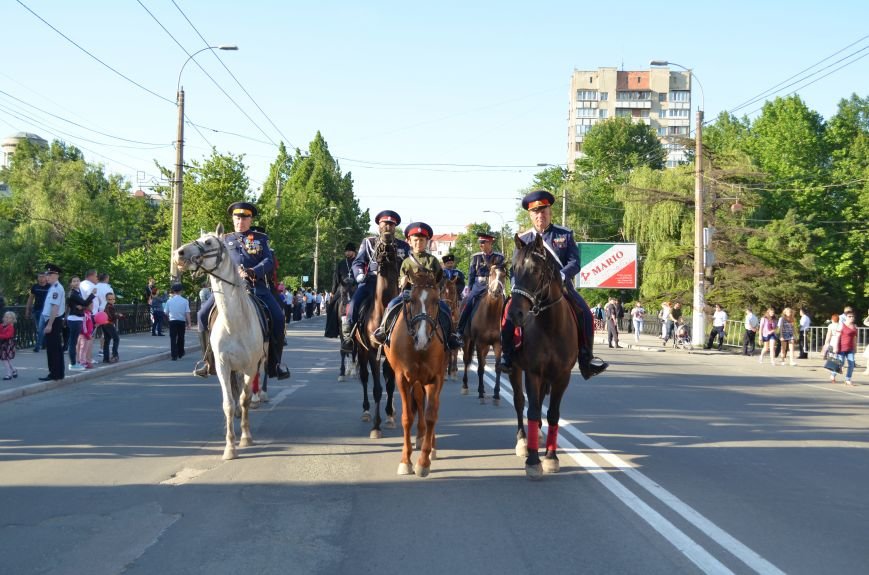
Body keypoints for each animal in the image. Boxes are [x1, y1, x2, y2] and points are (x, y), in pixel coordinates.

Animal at [170, 226, 264, 464]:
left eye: (209, 242)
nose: (179, 254)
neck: (235, 322)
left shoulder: (250, 366)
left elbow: (245, 398)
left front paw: (246, 437)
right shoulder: (222, 365)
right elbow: (228, 404)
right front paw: (230, 447)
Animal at [382, 270, 444, 476]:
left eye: (436, 300)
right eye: (412, 300)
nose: (422, 338)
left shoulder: (436, 379)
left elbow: (432, 415)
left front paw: (423, 462)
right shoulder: (402, 378)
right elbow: (407, 417)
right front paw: (405, 461)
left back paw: (431, 446)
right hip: (415, 380)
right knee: (417, 398)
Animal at [462, 266, 508, 404]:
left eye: (504, 275)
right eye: (491, 273)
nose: (496, 291)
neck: (491, 315)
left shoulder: (498, 344)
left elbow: (497, 367)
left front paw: (496, 395)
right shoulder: (479, 343)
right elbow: (481, 368)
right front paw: (481, 393)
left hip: (487, 347)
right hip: (467, 340)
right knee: (466, 360)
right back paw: (465, 386)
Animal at [502, 234, 576, 482]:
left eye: (535, 270)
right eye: (513, 269)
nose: (515, 314)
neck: (550, 326)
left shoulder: (562, 376)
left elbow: (553, 413)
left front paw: (551, 458)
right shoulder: (532, 373)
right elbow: (532, 410)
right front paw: (533, 461)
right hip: (515, 369)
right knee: (519, 401)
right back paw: (523, 441)